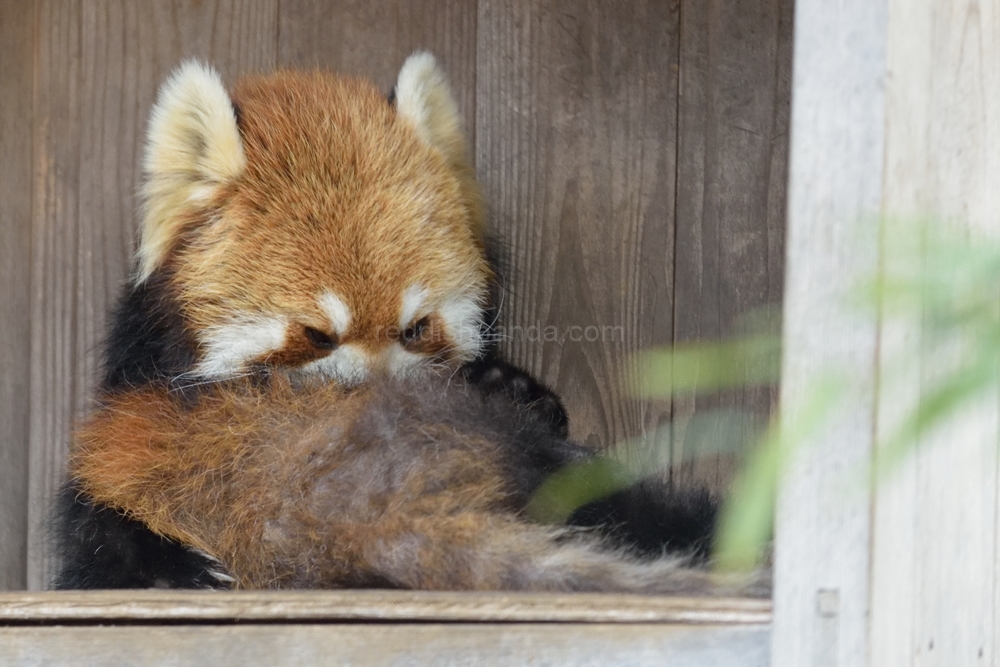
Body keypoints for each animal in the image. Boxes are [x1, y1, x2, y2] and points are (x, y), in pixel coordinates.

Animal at [52, 53, 744, 596]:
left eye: (415, 328)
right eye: (318, 335)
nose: (373, 404)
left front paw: (513, 386)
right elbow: (92, 531)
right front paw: (174, 567)